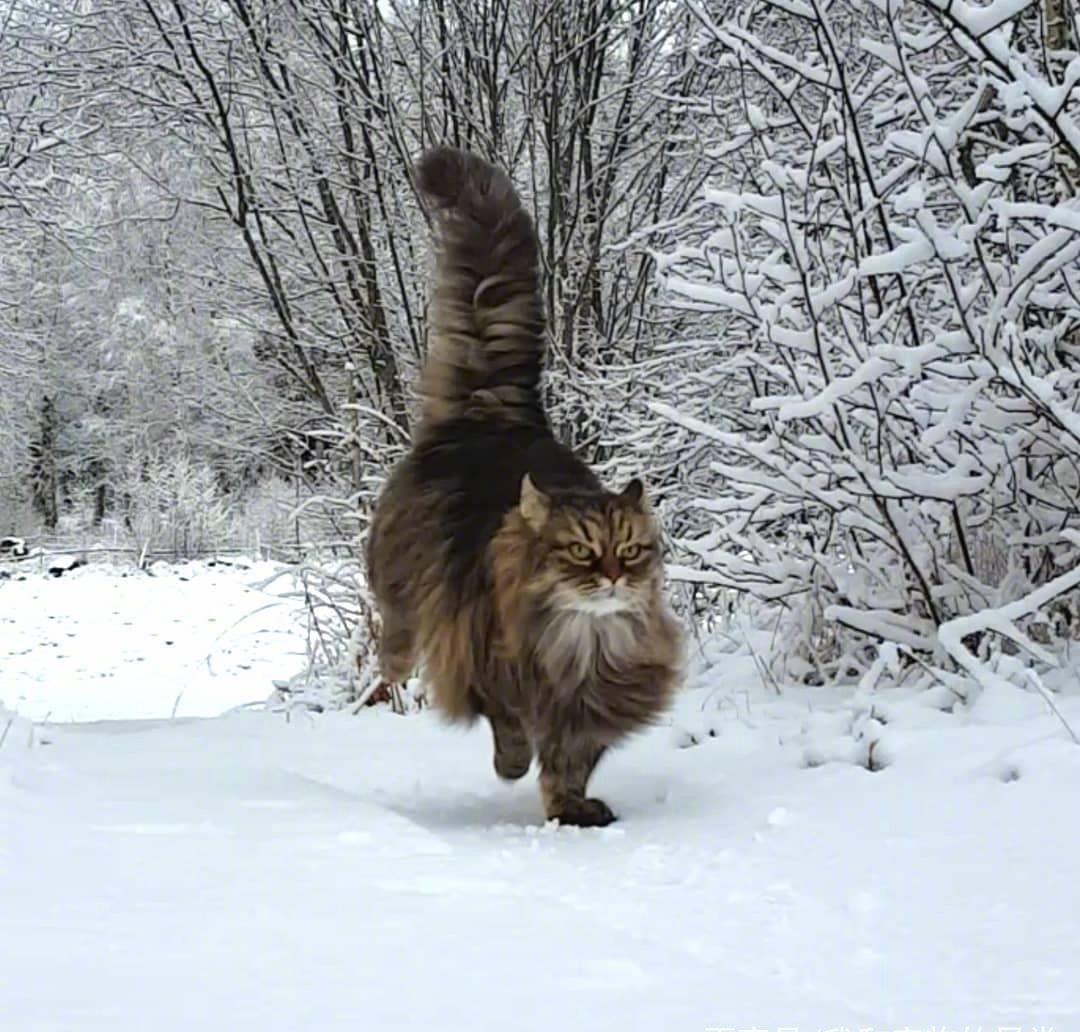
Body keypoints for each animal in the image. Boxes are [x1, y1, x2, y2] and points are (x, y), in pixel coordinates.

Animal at [367, 144, 678, 824]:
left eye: (632, 549)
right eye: (582, 551)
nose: (613, 577)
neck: (584, 643)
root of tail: (495, 412)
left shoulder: (593, 704)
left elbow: (571, 760)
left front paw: (571, 806)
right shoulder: (486, 668)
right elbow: (509, 727)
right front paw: (516, 768)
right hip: (401, 579)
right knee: (394, 631)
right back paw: (391, 667)